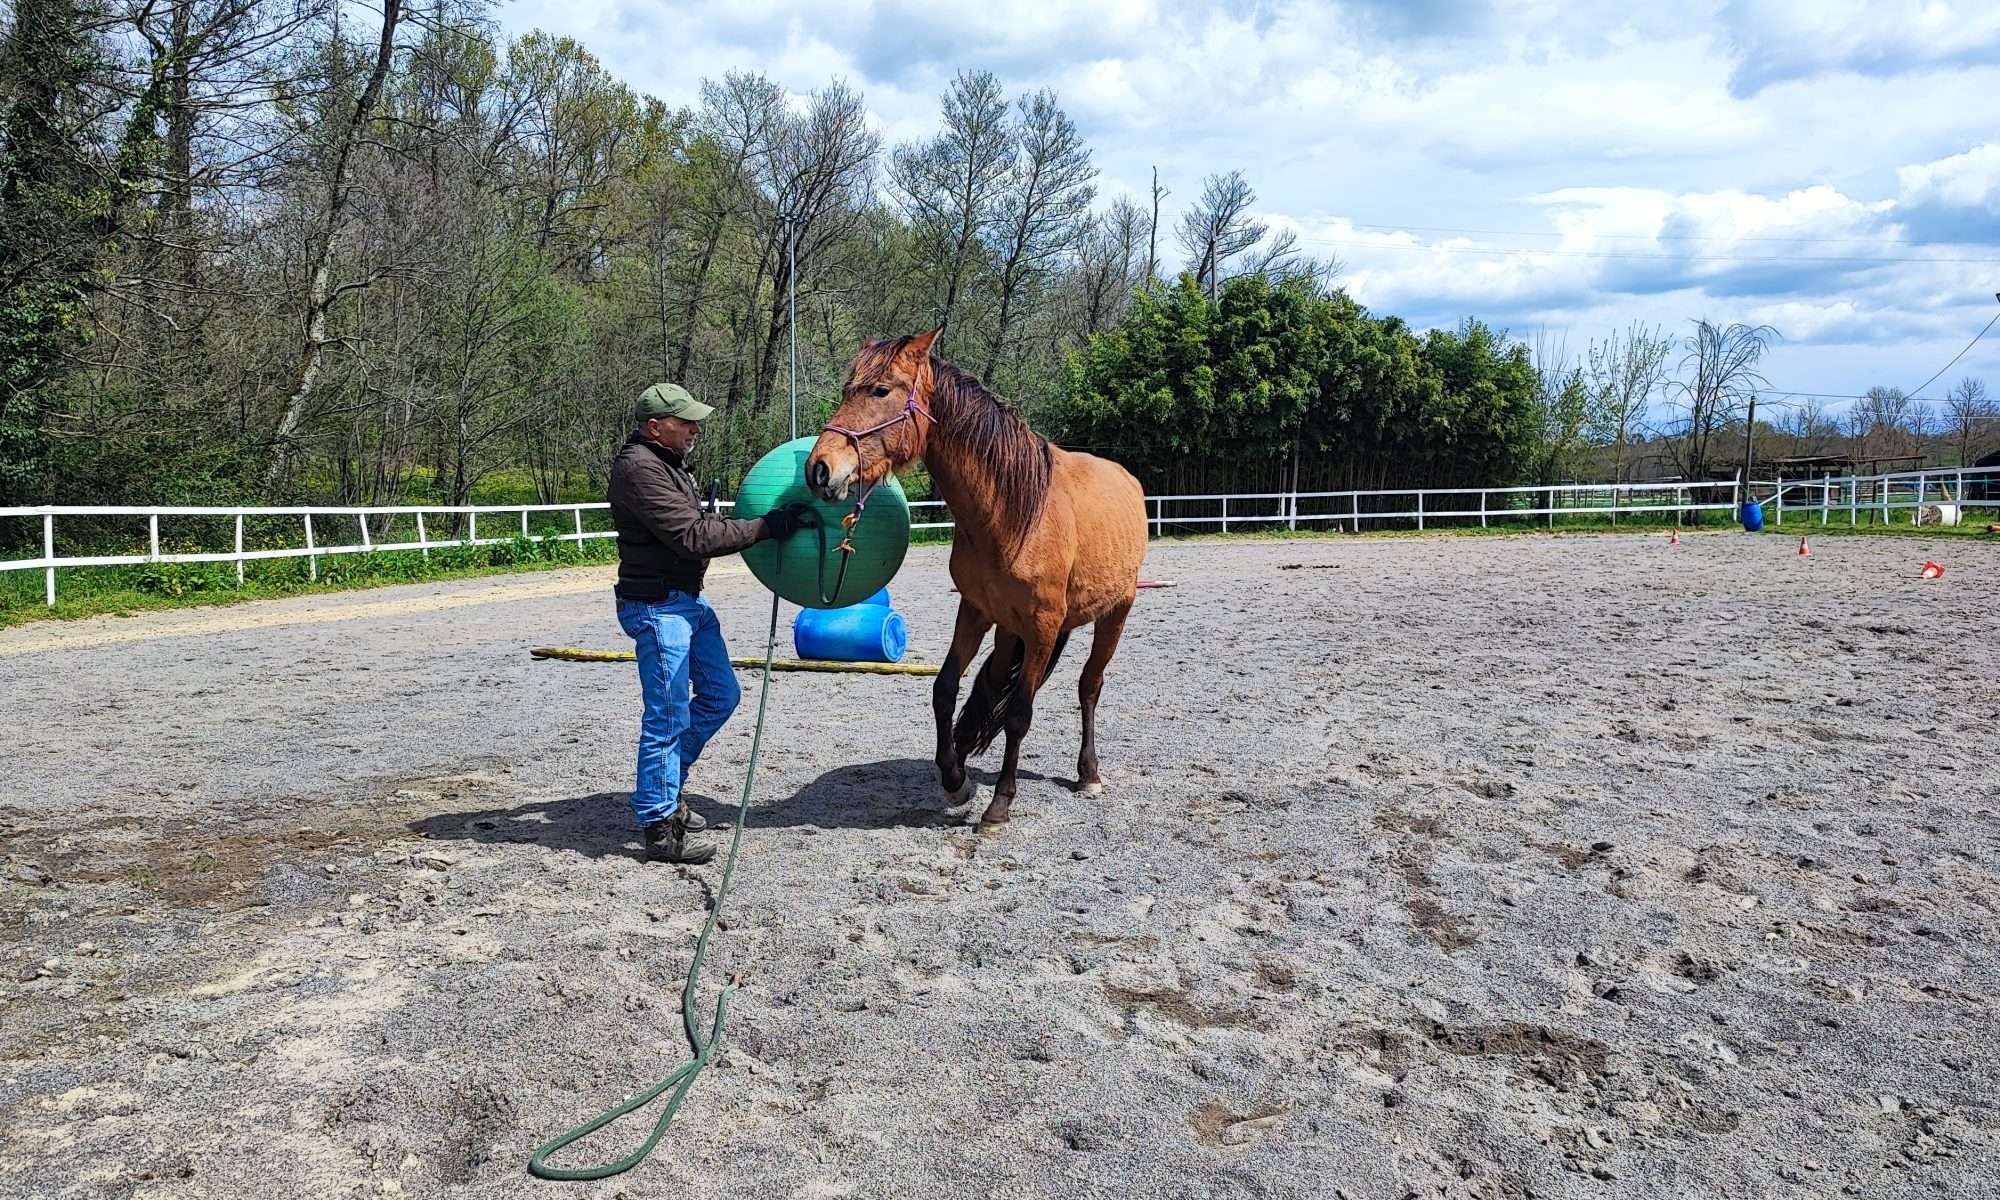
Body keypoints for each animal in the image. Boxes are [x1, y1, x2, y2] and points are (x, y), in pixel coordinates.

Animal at [806, 329, 1148, 830]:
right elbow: (946, 689)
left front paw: (999, 803)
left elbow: (1020, 713)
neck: (1011, 512)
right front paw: (954, 779)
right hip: (1009, 629)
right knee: (994, 683)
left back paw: (1088, 773)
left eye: (881, 390)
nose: (819, 469)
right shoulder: (975, 610)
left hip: (1114, 616)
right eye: (847, 390)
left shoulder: (1043, 627)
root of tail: (1128, 479)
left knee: (1089, 687)